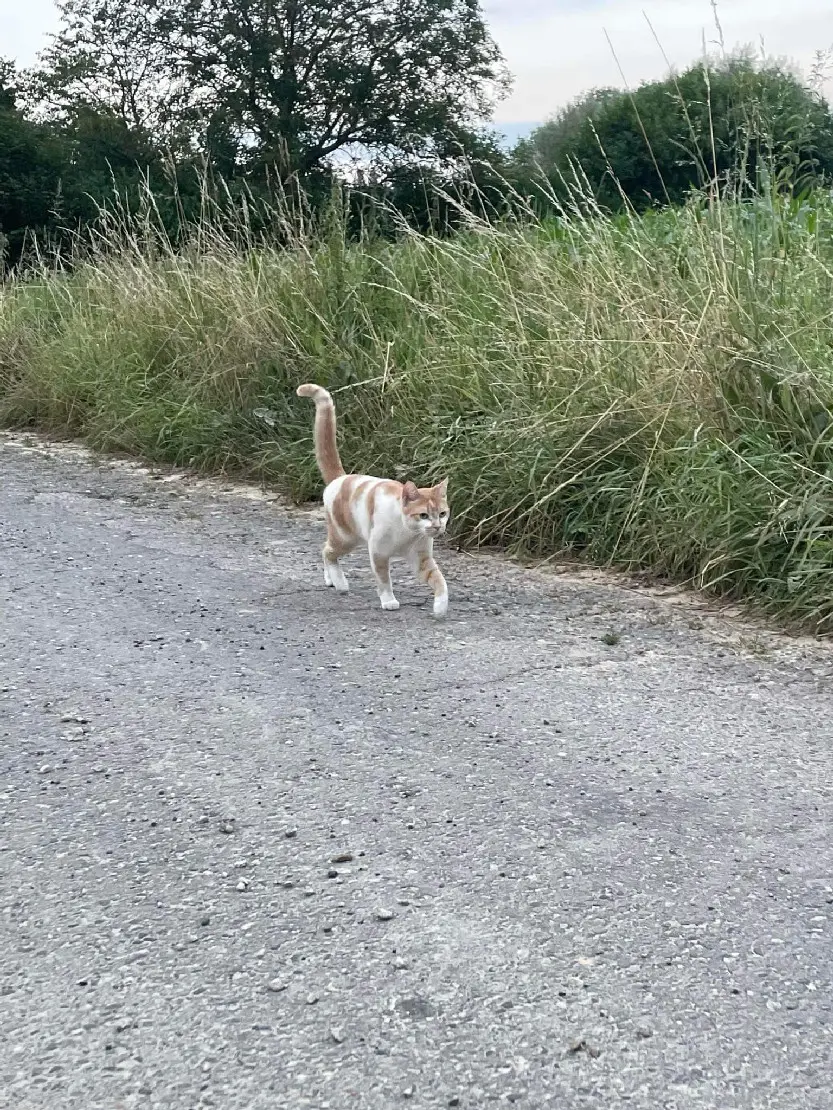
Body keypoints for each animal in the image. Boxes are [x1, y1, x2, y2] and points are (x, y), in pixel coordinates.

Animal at [297, 384, 450, 617]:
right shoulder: (378, 552)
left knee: (325, 549)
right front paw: (388, 600)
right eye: (423, 515)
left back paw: (330, 579)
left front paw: (440, 605)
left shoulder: (421, 559)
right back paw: (339, 582)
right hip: (346, 538)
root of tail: (341, 478)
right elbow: (384, 579)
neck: (406, 533)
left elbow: (439, 579)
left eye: (442, 513)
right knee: (327, 551)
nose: (437, 526)